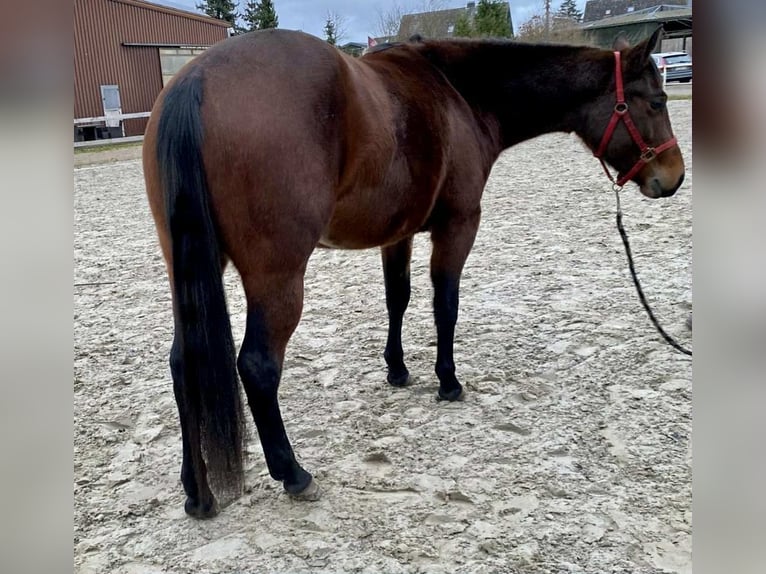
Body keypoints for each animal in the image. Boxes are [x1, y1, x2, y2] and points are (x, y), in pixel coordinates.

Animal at [142, 26, 684, 518]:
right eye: (656, 102)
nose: (673, 177)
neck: (459, 92)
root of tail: (198, 79)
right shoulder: (458, 225)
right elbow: (445, 305)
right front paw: (448, 382)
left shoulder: (396, 234)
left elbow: (397, 299)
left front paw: (398, 370)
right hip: (277, 277)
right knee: (257, 366)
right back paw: (293, 474)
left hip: (189, 270)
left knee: (182, 363)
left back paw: (198, 493)